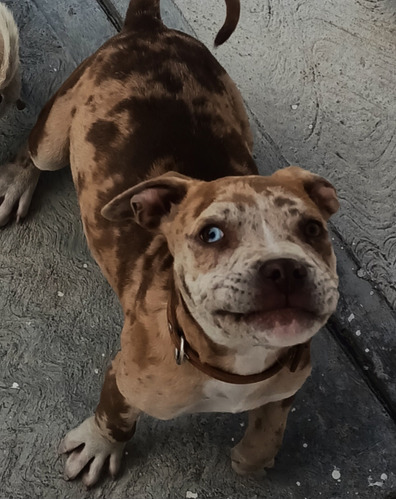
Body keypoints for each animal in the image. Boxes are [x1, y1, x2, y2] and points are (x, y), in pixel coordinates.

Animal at [0, 0, 340, 488]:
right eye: (211, 234)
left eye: (313, 229)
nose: (284, 268)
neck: (239, 362)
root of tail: (148, 26)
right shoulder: (124, 376)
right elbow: (115, 415)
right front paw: (100, 445)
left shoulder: (288, 381)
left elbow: (271, 423)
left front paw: (254, 456)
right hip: (54, 133)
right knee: (33, 152)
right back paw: (16, 183)